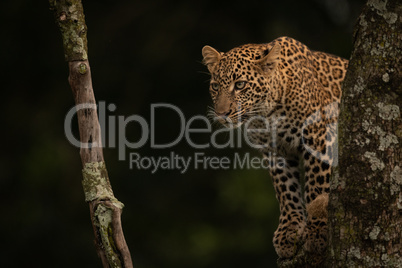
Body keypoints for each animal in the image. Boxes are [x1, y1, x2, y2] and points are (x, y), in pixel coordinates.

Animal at [203, 36, 348, 258]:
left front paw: (317, 230)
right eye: (216, 86)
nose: (221, 114)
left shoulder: (319, 137)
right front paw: (289, 230)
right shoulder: (274, 151)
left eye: (240, 85)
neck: (266, 114)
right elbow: (285, 189)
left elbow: (316, 188)